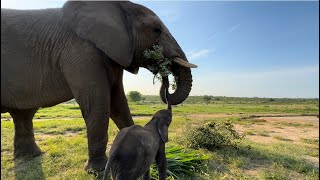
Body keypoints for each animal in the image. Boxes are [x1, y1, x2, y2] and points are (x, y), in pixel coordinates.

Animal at [1, 0, 196, 171]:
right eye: (156, 30)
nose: (164, 75)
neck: (117, 7)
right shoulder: (80, 51)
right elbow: (99, 105)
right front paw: (97, 170)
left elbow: (119, 104)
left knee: (23, 114)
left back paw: (29, 156)